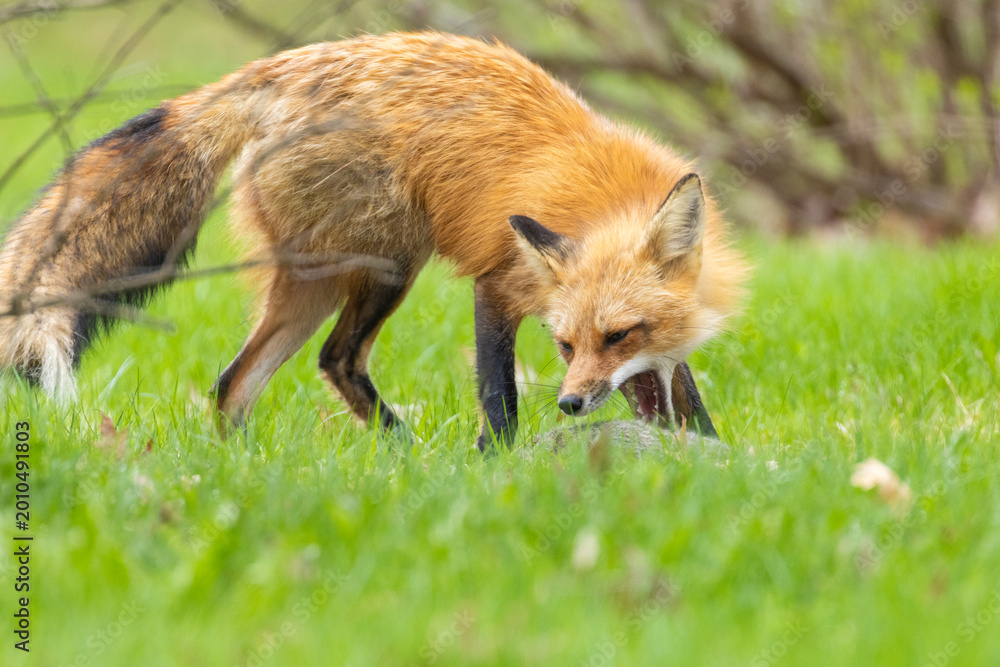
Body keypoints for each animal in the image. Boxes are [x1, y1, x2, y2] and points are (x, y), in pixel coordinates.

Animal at [0, 32, 745, 450]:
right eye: (564, 345)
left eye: (620, 335)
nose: (569, 404)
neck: (610, 202)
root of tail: (270, 72)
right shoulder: (499, 284)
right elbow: (499, 399)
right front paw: (500, 468)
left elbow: (686, 398)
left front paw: (717, 459)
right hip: (386, 262)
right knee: (335, 359)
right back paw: (408, 455)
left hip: (316, 282)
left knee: (233, 384)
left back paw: (246, 472)